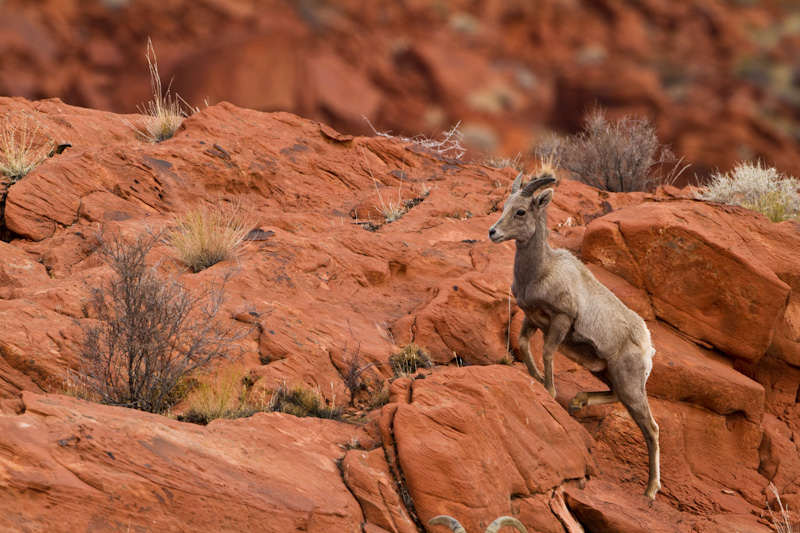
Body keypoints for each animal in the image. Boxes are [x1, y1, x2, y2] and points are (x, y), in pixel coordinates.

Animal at [488, 170, 664, 498]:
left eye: (521, 211)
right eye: (505, 206)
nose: (493, 232)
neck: (541, 271)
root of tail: (648, 348)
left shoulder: (561, 320)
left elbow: (547, 352)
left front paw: (549, 391)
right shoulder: (533, 318)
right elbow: (524, 344)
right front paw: (536, 378)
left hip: (630, 384)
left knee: (651, 428)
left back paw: (650, 492)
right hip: (608, 374)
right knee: (616, 398)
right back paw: (577, 403)